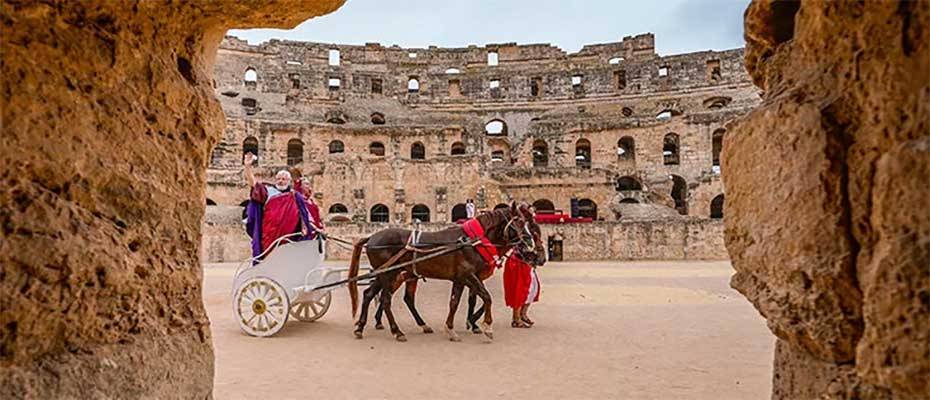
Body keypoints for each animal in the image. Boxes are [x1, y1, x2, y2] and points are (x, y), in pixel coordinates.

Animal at [346, 202, 544, 342]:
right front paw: (486, 327)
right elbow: (486, 297)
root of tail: (372, 237)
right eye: (520, 222)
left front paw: (452, 328)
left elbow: (455, 302)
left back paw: (361, 327)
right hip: (388, 274)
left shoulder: (461, 278)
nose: (530, 246)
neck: (473, 241)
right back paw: (397, 331)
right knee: (385, 299)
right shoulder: (469, 276)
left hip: (389, 274)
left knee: (371, 294)